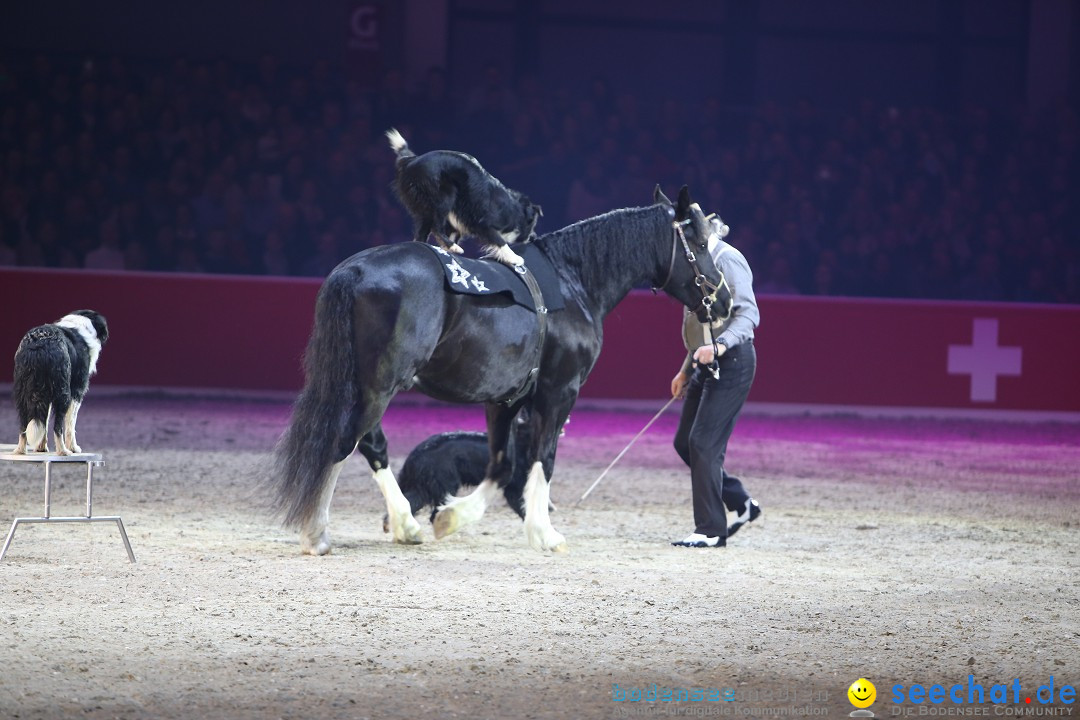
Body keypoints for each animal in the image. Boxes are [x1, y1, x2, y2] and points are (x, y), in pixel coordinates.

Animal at [11, 310, 109, 455]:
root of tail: (39, 345)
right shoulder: (77, 391)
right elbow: (70, 424)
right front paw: (73, 447)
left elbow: (44, 421)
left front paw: (41, 447)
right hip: (63, 391)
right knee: (58, 427)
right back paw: (63, 451)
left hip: (23, 392)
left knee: (24, 426)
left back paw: (20, 450)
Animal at [270, 184, 734, 552]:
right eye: (700, 245)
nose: (726, 300)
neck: (574, 281)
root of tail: (355, 269)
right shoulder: (558, 392)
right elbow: (543, 459)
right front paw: (545, 534)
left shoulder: (504, 400)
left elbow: (502, 465)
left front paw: (450, 518)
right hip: (380, 385)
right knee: (345, 442)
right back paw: (318, 533)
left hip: (365, 384)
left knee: (369, 444)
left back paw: (404, 526)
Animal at [386, 127, 544, 266]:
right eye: (532, 223)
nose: (534, 237)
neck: (515, 208)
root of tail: (410, 160)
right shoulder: (482, 223)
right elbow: (499, 241)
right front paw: (514, 258)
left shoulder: (457, 225)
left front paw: (447, 251)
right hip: (444, 195)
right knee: (436, 227)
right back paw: (454, 247)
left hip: (424, 208)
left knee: (420, 236)